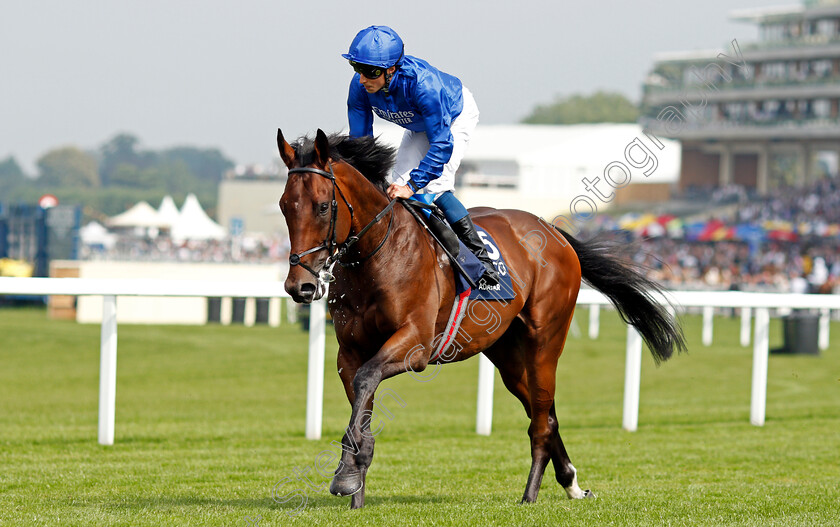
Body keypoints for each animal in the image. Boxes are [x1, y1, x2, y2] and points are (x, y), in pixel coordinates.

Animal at [276, 129, 684, 512]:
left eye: (324, 206)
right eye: (284, 206)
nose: (300, 286)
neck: (378, 255)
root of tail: (554, 232)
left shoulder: (415, 345)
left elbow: (366, 381)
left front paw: (346, 474)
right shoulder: (350, 351)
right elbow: (362, 398)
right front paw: (356, 481)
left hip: (545, 341)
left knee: (540, 422)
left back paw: (530, 495)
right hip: (506, 354)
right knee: (544, 412)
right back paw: (571, 483)